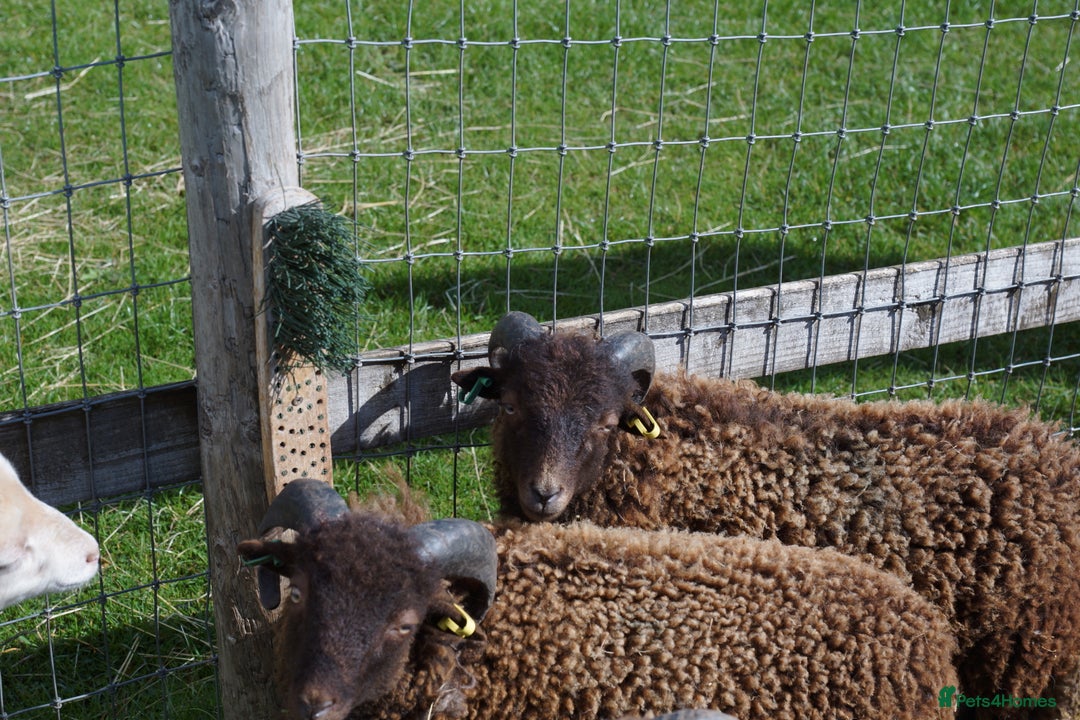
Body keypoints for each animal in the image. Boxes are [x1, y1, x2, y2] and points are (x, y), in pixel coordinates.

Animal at [451, 311, 1080, 717]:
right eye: (511, 406)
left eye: (606, 422)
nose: (544, 494)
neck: (663, 451)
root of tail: (1054, 450)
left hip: (1042, 663)